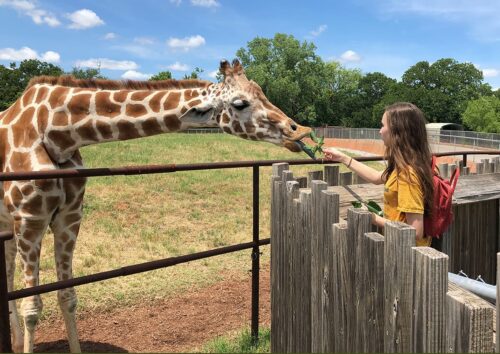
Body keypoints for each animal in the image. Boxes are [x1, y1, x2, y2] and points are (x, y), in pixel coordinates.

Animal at [0, 59, 310, 352]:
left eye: (262, 92)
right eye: (240, 103)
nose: (299, 131)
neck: (58, 132)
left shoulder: (70, 217)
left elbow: (67, 296)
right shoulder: (30, 219)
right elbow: (33, 307)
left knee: (9, 265)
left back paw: (15, 341)